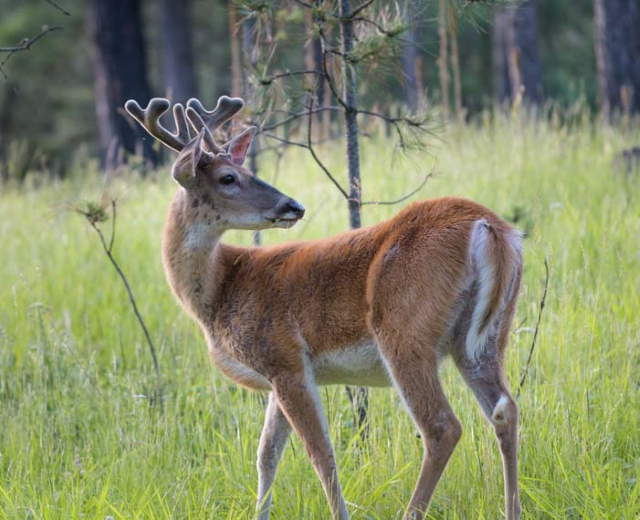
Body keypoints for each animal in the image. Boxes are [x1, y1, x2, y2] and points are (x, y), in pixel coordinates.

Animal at [126, 94, 524, 520]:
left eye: (239, 171)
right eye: (229, 178)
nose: (293, 205)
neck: (221, 288)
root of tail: (488, 227)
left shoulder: (285, 359)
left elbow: (320, 454)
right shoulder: (278, 375)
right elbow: (266, 455)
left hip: (405, 329)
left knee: (442, 426)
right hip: (485, 335)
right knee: (505, 409)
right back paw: (512, 510)